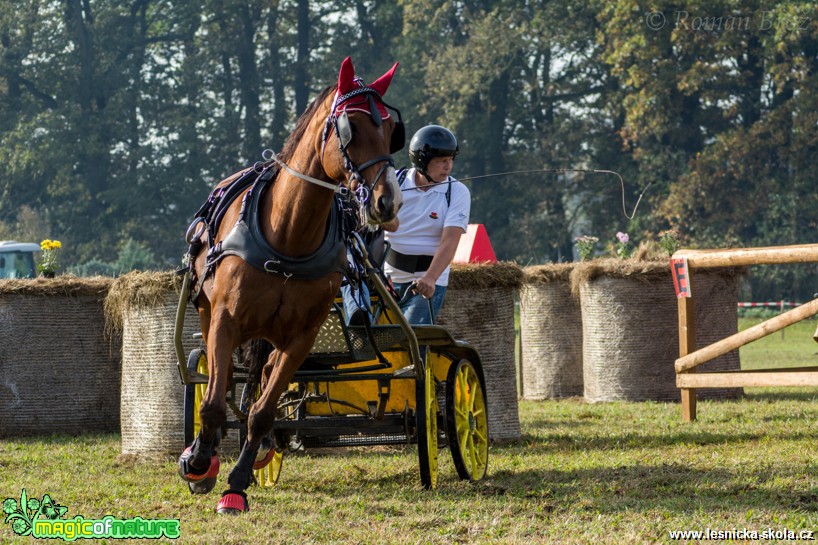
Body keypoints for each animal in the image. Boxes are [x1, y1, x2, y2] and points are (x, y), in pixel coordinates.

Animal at [182, 57, 404, 512]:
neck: (286, 238)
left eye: (392, 128)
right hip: (211, 314)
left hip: (273, 334)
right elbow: (212, 402)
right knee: (222, 381)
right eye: (352, 127)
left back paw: (263, 446)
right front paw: (199, 463)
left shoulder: (301, 337)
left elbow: (264, 409)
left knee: (263, 377)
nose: (387, 201)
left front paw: (237, 483)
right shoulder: (226, 322)